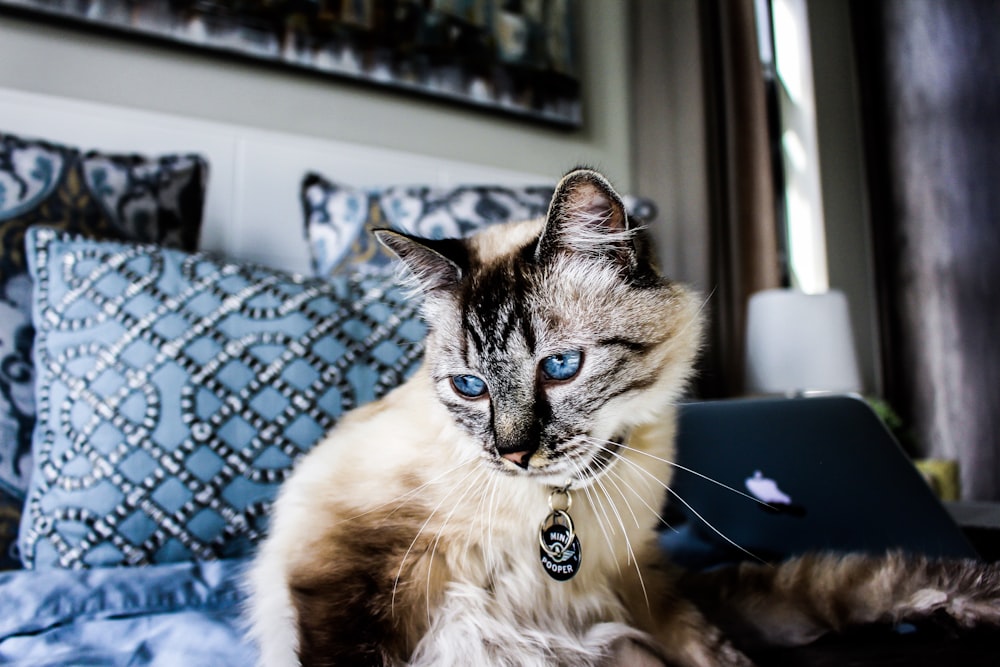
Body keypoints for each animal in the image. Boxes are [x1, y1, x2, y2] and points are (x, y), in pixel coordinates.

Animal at [244, 168, 1000, 667]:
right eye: (469, 387)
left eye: (559, 367)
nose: (512, 454)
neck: (558, 503)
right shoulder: (350, 568)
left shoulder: (638, 582)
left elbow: (706, 649)